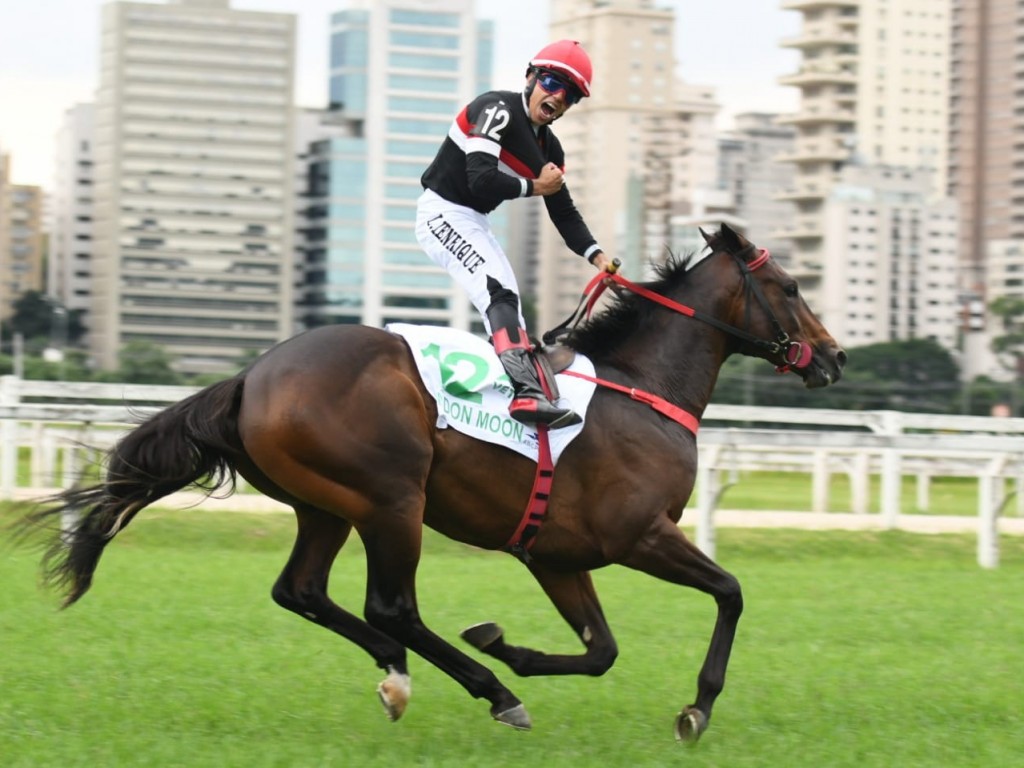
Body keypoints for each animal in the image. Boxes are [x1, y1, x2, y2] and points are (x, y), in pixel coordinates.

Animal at [19, 225, 843, 741]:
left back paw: (404, 678)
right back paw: (489, 690)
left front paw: (515, 648)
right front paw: (696, 708)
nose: (832, 358)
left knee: (303, 591)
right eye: (791, 285)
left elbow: (601, 648)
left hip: (326, 504)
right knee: (390, 606)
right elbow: (730, 592)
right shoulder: (637, 534)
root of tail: (251, 377)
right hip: (392, 499)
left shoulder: (557, 555)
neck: (639, 388)